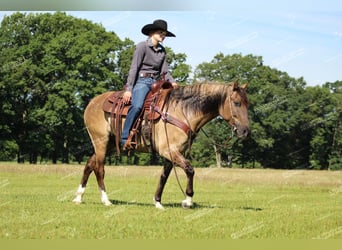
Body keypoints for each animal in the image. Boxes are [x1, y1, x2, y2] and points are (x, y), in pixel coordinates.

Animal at [73, 80, 248, 209]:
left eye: (248, 104)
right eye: (237, 103)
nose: (245, 131)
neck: (183, 111)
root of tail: (92, 102)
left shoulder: (172, 154)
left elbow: (164, 176)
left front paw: (157, 201)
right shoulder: (169, 150)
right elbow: (190, 170)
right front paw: (188, 200)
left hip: (108, 144)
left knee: (90, 164)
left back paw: (78, 197)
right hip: (100, 142)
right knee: (99, 169)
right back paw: (105, 200)